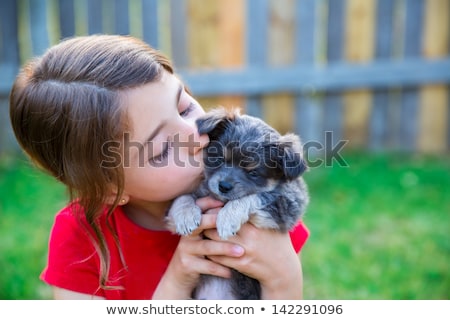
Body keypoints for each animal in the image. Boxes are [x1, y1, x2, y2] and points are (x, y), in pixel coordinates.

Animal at [166, 109, 310, 298]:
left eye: (253, 173)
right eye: (219, 158)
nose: (224, 186)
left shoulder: (288, 206)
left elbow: (254, 197)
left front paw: (228, 218)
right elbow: (182, 197)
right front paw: (185, 216)